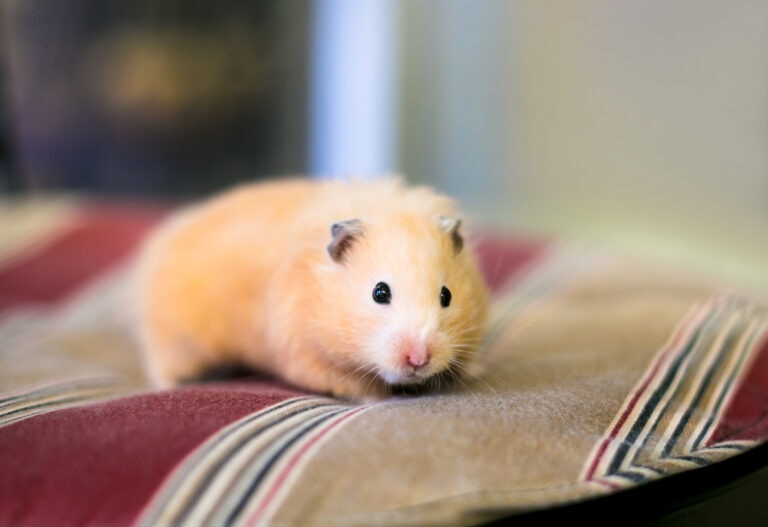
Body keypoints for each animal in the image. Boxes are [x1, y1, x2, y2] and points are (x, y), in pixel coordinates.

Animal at [134, 176, 489, 401]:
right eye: (380, 293)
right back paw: (167, 385)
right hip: (175, 336)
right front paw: (376, 399)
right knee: (161, 360)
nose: (418, 359)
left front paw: (473, 371)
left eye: (446, 296)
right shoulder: (307, 356)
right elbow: (356, 387)